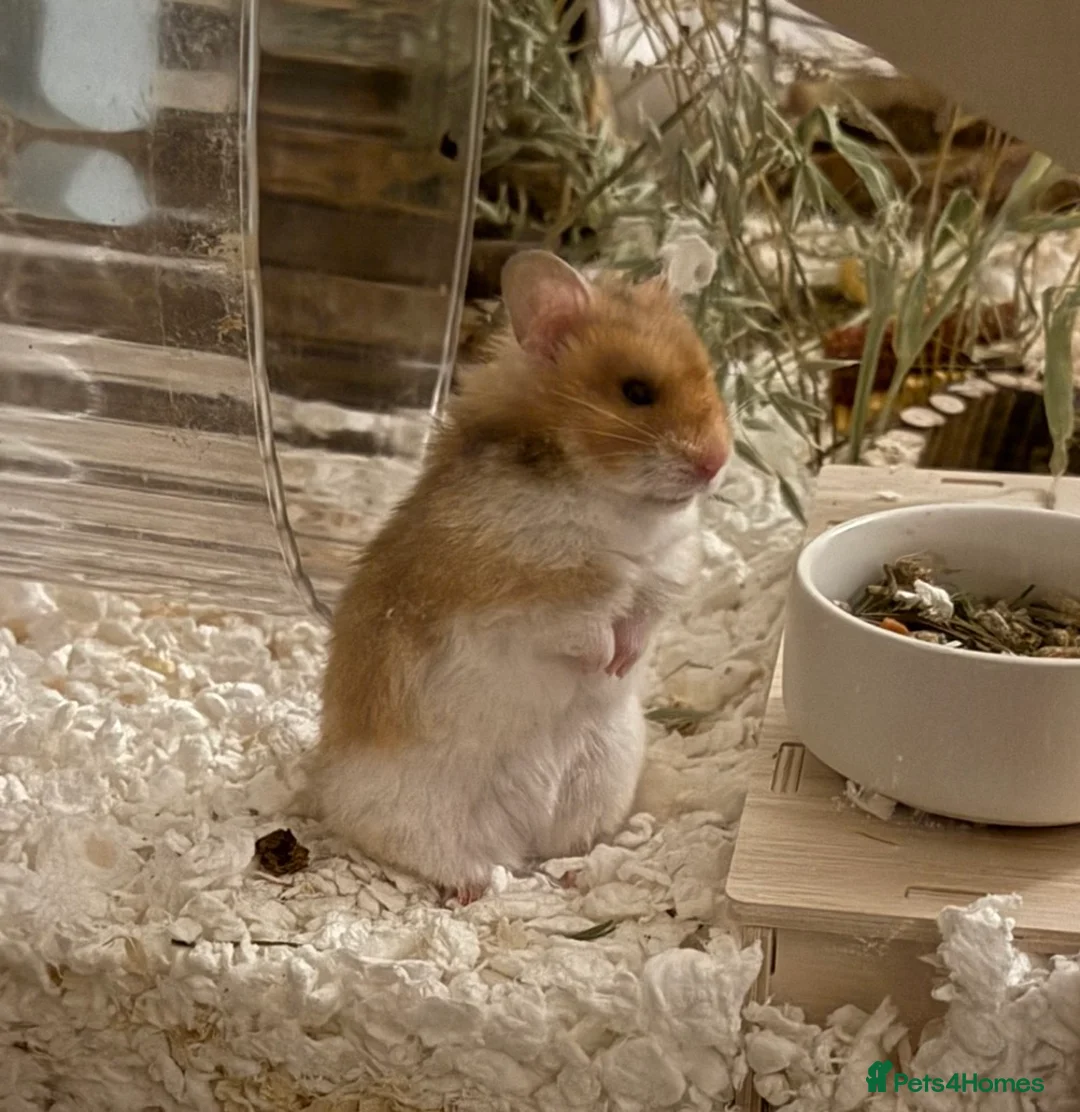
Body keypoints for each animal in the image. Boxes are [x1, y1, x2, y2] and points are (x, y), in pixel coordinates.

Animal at [309, 249, 731, 903]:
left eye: (710, 375)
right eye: (637, 392)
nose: (719, 461)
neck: (616, 501)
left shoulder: (664, 574)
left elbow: (640, 618)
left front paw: (621, 665)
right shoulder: (530, 593)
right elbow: (585, 625)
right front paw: (606, 661)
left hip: (606, 773)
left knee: (567, 846)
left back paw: (581, 868)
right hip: (421, 809)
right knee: (441, 856)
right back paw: (477, 886)